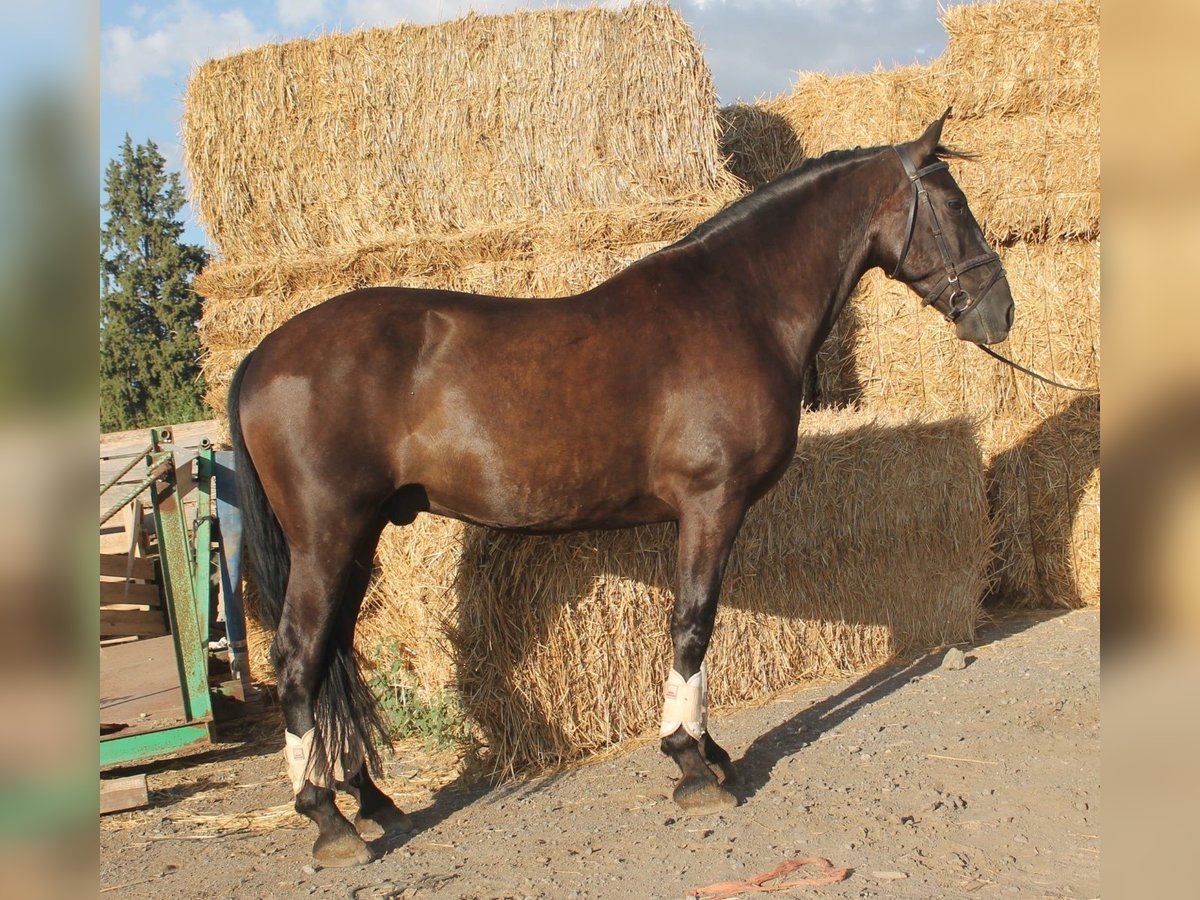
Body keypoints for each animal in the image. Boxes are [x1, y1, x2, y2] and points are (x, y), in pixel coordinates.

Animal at [225, 112, 1012, 868]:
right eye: (954, 203)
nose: (998, 312)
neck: (737, 306)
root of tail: (263, 355)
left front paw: (711, 751)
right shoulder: (710, 504)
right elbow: (692, 624)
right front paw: (692, 763)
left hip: (358, 541)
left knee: (333, 655)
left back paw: (371, 799)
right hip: (327, 539)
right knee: (299, 658)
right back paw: (326, 819)